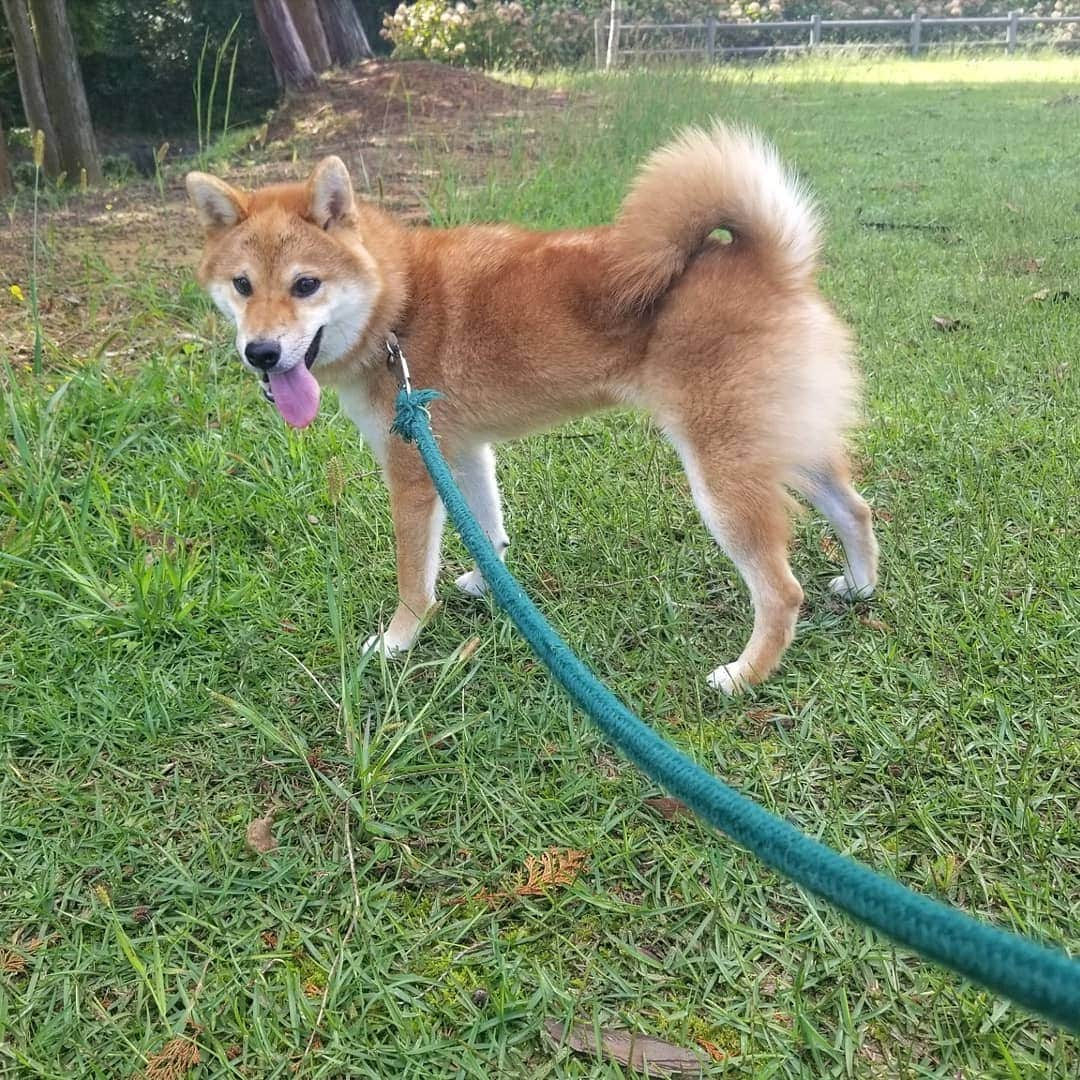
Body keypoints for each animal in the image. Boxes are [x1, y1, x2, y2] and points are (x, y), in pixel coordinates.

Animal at [185, 120, 876, 691]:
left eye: (306, 285)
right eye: (242, 285)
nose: (261, 352)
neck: (398, 307)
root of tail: (773, 263)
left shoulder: (411, 465)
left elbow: (413, 576)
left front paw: (399, 639)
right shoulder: (458, 447)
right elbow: (487, 525)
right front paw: (490, 582)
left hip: (722, 474)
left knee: (782, 592)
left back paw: (744, 675)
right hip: (784, 443)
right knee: (856, 508)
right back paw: (860, 586)